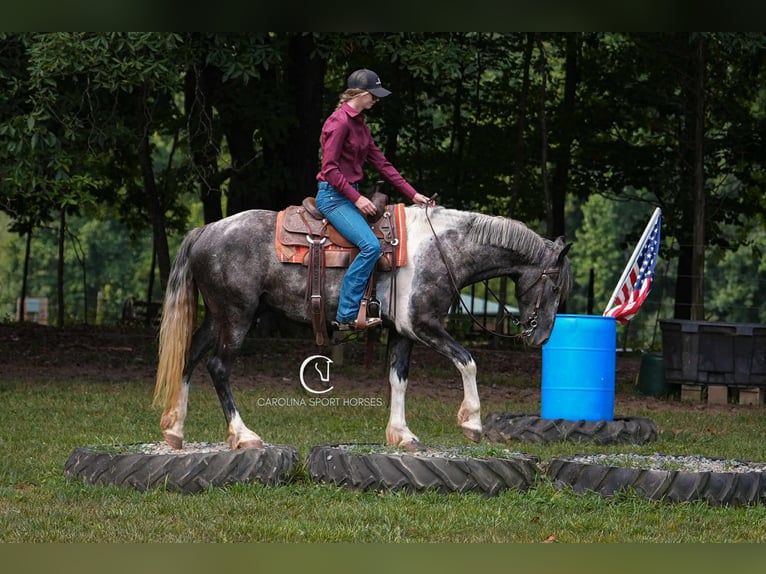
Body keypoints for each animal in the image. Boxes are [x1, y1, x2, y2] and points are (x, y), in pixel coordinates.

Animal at [153, 204, 572, 451]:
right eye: (554, 286)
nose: (541, 336)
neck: (442, 249)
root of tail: (206, 230)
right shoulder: (424, 324)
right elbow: (467, 361)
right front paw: (471, 422)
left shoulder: (403, 331)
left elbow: (398, 379)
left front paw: (402, 434)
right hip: (238, 316)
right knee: (218, 367)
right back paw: (243, 435)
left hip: (217, 317)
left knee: (188, 360)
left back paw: (175, 430)